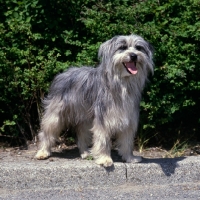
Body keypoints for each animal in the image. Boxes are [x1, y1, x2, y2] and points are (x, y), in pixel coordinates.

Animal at [35, 34, 153, 167]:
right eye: (122, 47)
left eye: (138, 47)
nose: (134, 55)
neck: (121, 83)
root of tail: (62, 74)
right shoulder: (103, 119)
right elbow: (102, 139)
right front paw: (104, 159)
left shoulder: (129, 118)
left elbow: (127, 141)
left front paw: (129, 158)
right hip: (56, 115)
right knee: (46, 132)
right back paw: (42, 152)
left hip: (84, 118)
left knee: (81, 135)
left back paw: (85, 153)